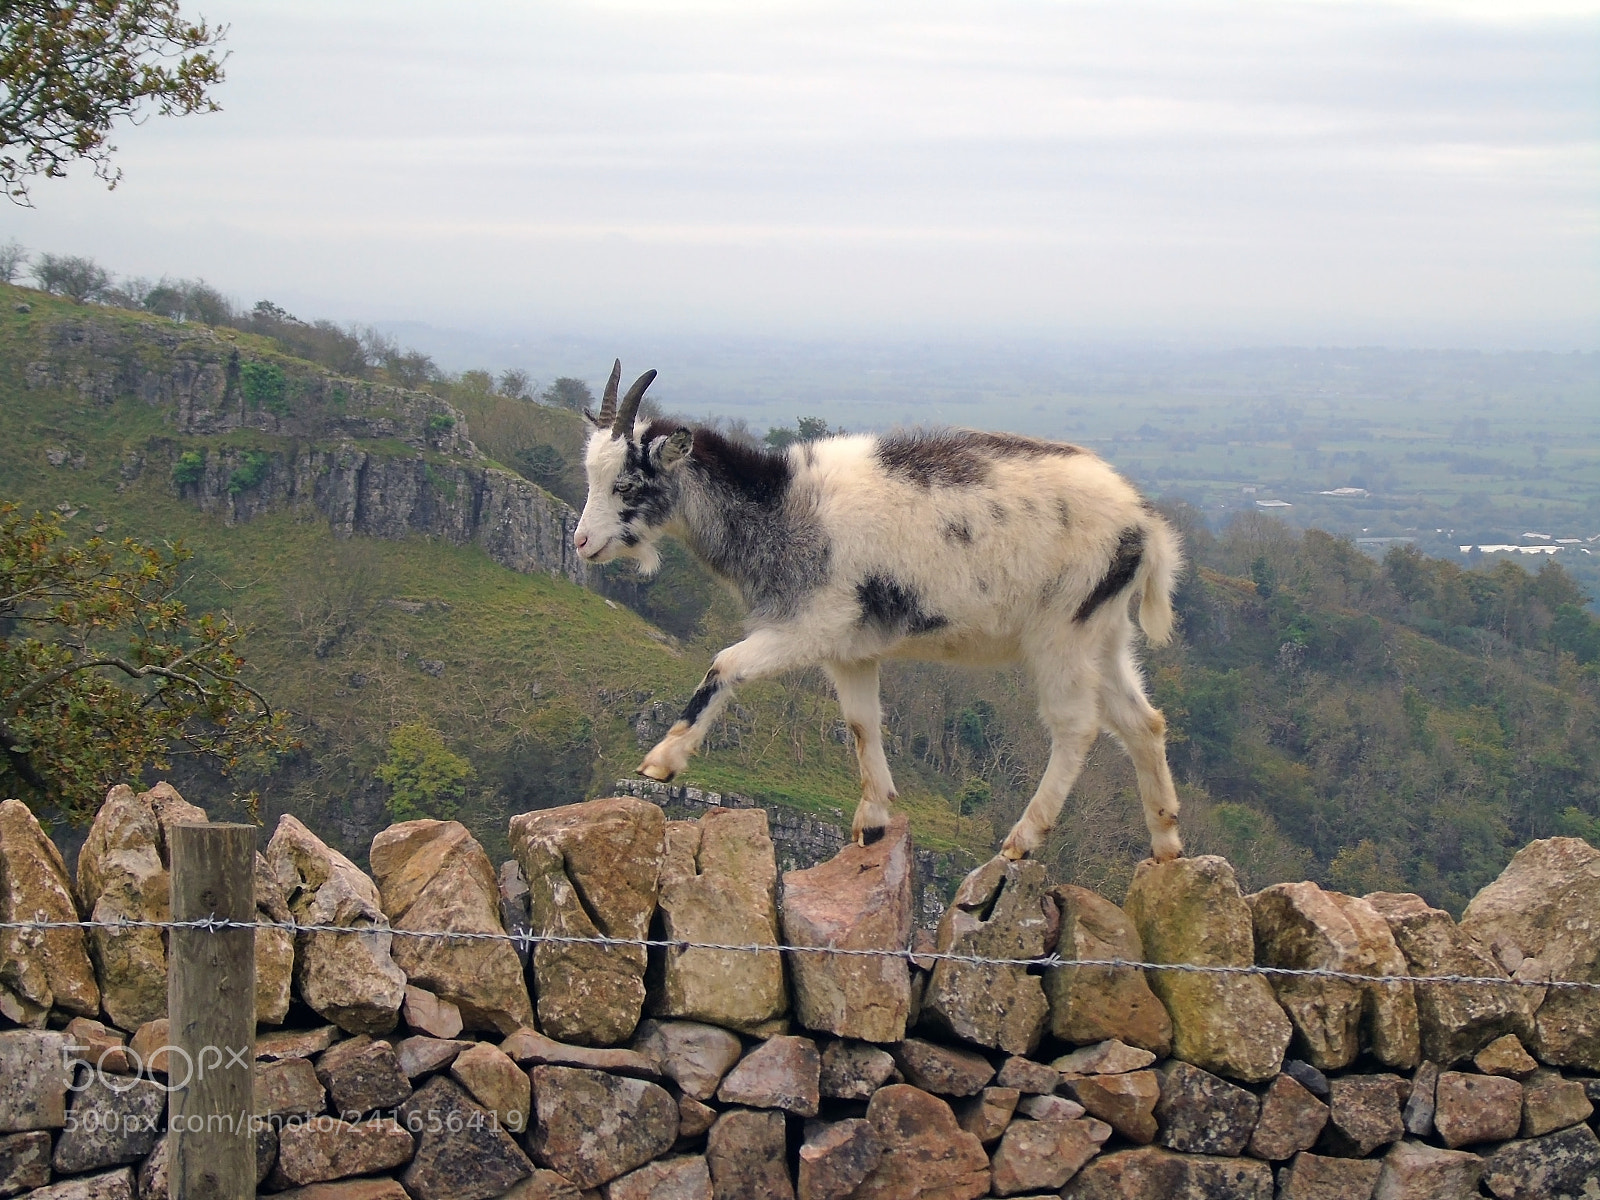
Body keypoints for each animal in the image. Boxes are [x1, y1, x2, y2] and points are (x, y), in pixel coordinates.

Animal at [573, 361, 1184, 862]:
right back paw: (1166, 844)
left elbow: (725, 665)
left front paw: (661, 760)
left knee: (1076, 725)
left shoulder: (810, 626)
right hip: (1102, 631)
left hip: (1062, 628)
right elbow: (863, 723)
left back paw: (1024, 839)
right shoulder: (850, 650)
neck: (784, 507)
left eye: (626, 483)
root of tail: (1144, 522)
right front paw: (872, 820)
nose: (582, 543)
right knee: (1142, 721)